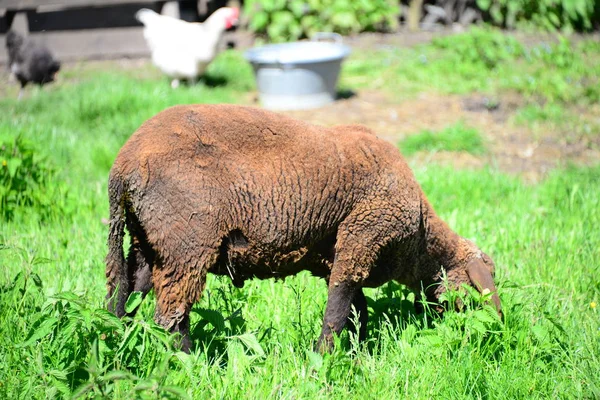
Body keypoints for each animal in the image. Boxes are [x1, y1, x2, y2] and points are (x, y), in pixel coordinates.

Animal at [105, 104, 500, 354]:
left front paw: (358, 353)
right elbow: (339, 309)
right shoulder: (363, 235)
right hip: (187, 242)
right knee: (171, 315)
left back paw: (118, 341)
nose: (486, 331)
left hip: (149, 240)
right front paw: (323, 358)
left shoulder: (338, 253)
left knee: (128, 295)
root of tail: (123, 165)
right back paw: (191, 363)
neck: (419, 241)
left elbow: (357, 309)